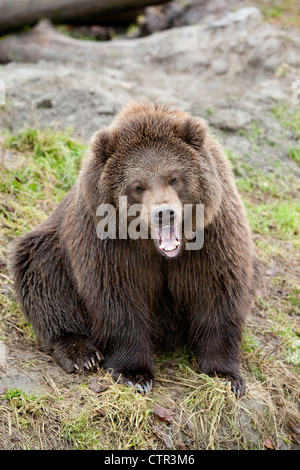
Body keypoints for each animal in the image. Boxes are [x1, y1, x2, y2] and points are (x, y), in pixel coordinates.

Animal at [11, 102, 255, 396]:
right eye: (138, 186)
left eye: (174, 178)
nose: (165, 213)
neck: (158, 250)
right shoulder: (107, 242)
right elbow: (118, 299)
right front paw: (135, 374)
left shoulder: (213, 236)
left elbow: (217, 295)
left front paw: (225, 376)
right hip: (53, 244)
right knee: (42, 273)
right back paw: (81, 353)